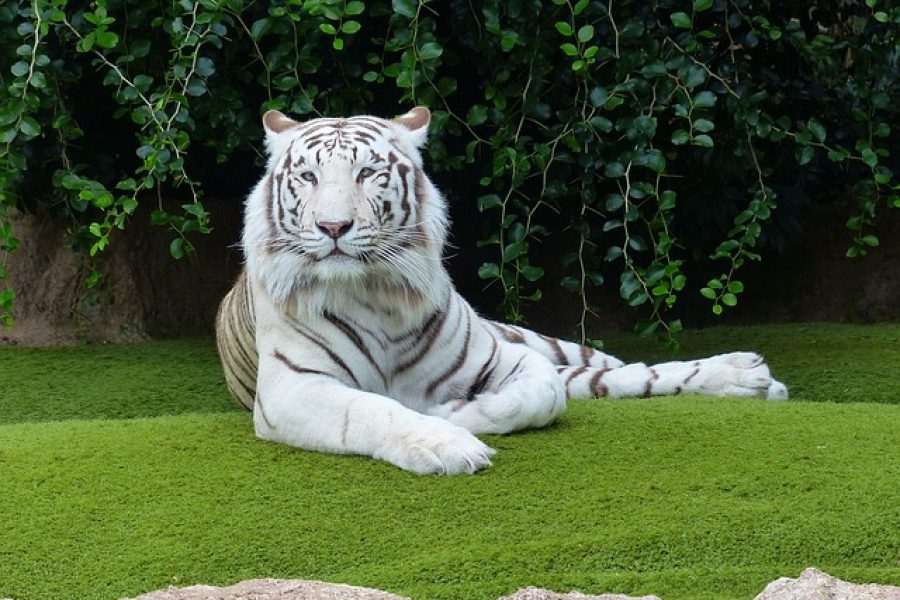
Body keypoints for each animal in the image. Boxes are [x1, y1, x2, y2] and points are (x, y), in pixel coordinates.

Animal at [215, 106, 788, 475]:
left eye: (369, 173)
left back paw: (750, 376)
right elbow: (373, 409)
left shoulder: (504, 357)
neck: (376, 292)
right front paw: (444, 442)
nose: (333, 227)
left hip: (544, 342)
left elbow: (542, 394)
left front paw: (452, 413)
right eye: (308, 177)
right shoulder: (291, 387)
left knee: (623, 372)